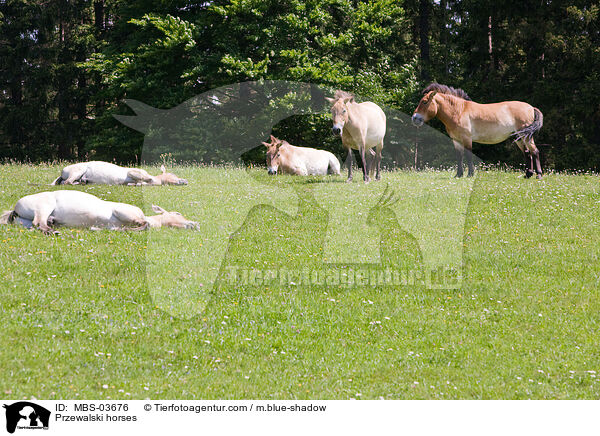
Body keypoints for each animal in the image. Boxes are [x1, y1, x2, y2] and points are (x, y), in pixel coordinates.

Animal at [412, 82, 544, 178]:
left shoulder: (467, 139)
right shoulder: (456, 140)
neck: (459, 111)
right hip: (519, 137)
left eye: (424, 102)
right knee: (527, 153)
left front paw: (470, 174)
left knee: (535, 151)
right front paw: (458, 175)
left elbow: (468, 155)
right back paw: (528, 175)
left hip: (526, 136)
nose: (415, 118)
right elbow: (459, 156)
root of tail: (531, 107)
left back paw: (538, 175)